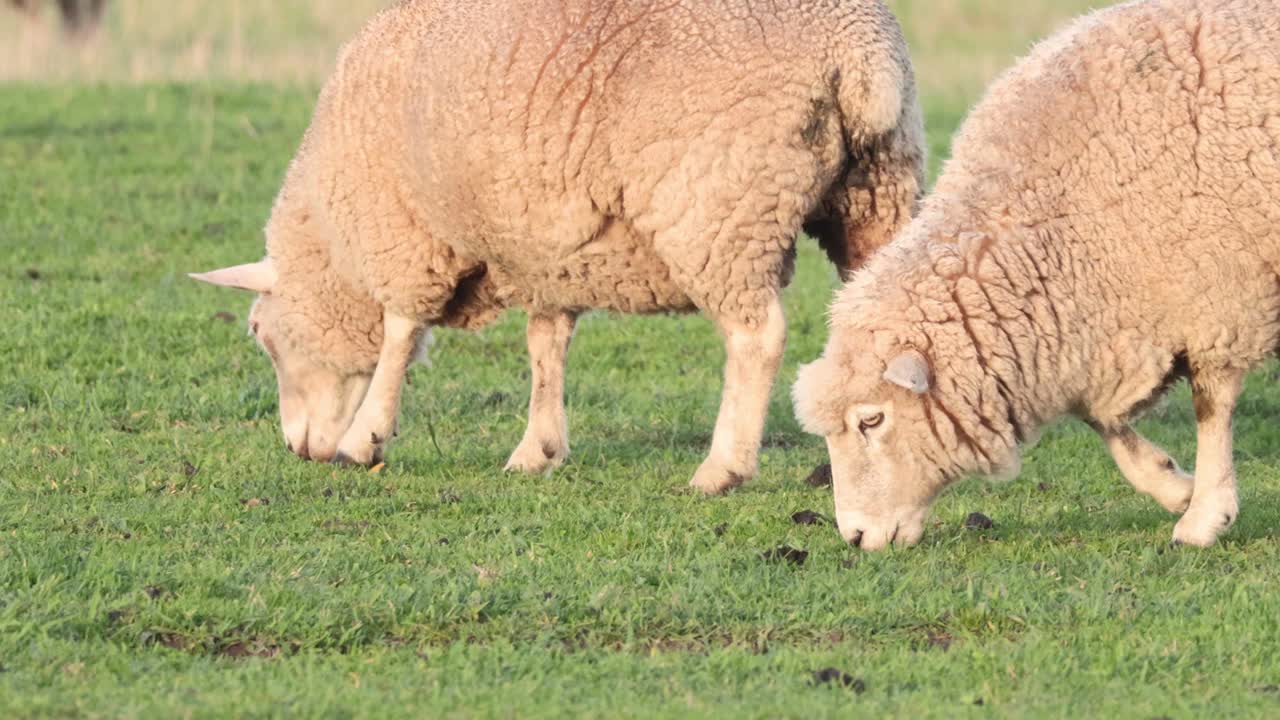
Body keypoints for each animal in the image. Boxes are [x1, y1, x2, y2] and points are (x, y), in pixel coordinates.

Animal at [189, 0, 926, 491]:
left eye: (261, 334)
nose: (298, 448)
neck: (334, 240)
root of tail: (859, 54)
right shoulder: (541, 248)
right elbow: (546, 347)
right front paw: (537, 449)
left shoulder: (406, 236)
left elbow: (398, 335)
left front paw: (362, 438)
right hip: (876, 193)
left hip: (718, 208)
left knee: (757, 337)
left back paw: (722, 468)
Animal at [788, 0, 1280, 545]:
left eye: (871, 421)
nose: (854, 537)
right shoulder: (1093, 322)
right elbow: (1100, 418)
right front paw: (1172, 485)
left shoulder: (1218, 296)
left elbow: (1211, 406)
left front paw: (1205, 515)